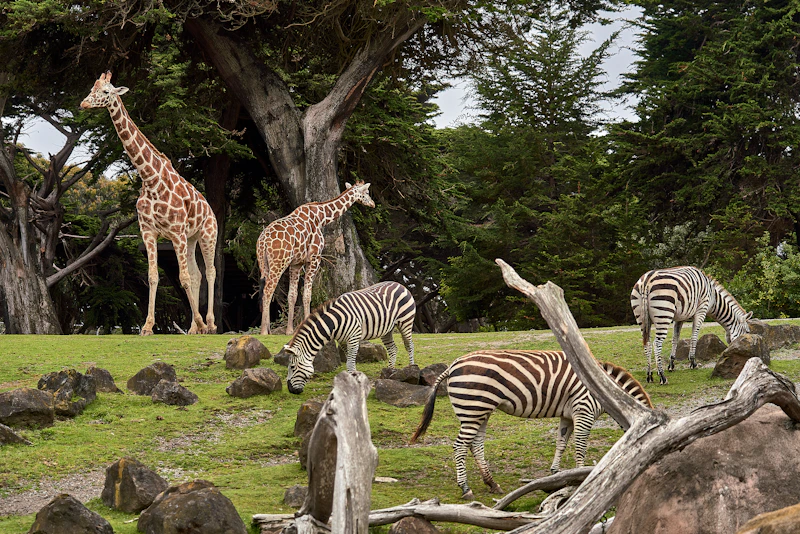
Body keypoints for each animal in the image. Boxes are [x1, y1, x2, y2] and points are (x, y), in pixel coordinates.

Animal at [81, 71, 217, 335]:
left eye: (106, 91)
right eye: (92, 88)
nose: (83, 104)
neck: (150, 178)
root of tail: (210, 209)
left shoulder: (176, 232)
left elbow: (183, 278)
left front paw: (198, 322)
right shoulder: (148, 231)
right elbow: (154, 276)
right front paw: (147, 326)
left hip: (207, 234)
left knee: (210, 271)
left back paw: (210, 323)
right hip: (192, 238)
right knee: (197, 274)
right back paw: (195, 328)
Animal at [257, 181, 375, 335]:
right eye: (366, 192)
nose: (373, 204)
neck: (321, 217)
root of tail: (263, 241)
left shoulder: (297, 263)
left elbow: (292, 295)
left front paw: (289, 330)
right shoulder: (314, 258)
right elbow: (307, 294)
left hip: (263, 263)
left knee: (265, 290)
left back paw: (267, 329)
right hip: (279, 262)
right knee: (268, 290)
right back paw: (264, 331)